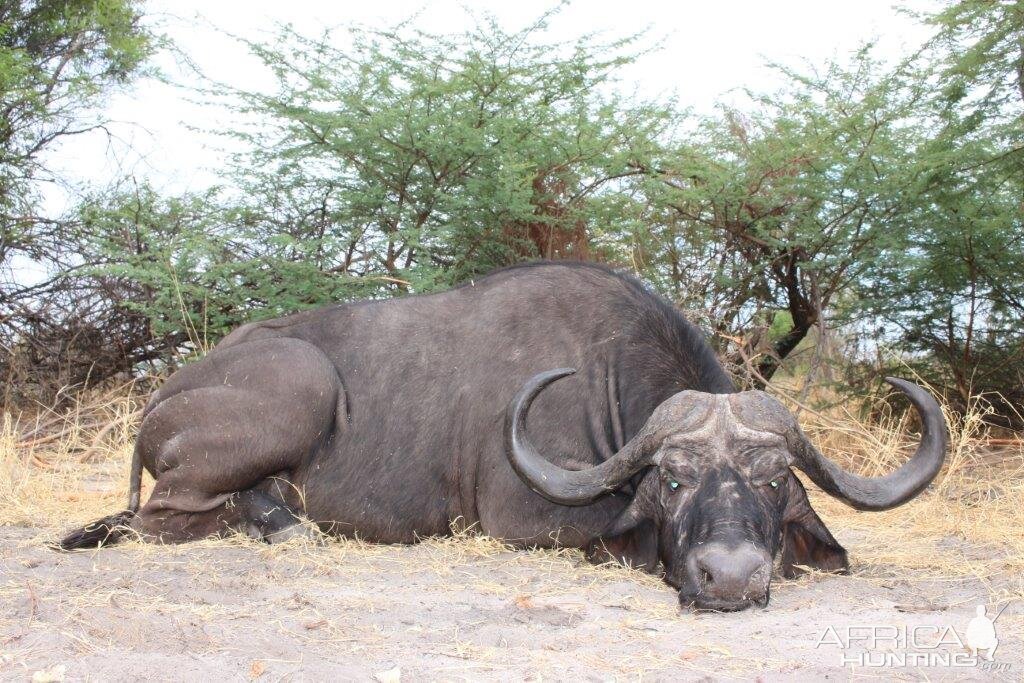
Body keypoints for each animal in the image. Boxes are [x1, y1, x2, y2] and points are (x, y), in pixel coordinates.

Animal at [59, 264, 946, 614]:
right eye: (673, 479)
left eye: (770, 480)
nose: (728, 576)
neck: (605, 370)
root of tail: (165, 395)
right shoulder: (523, 518)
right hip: (296, 388)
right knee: (158, 520)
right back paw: (284, 526)